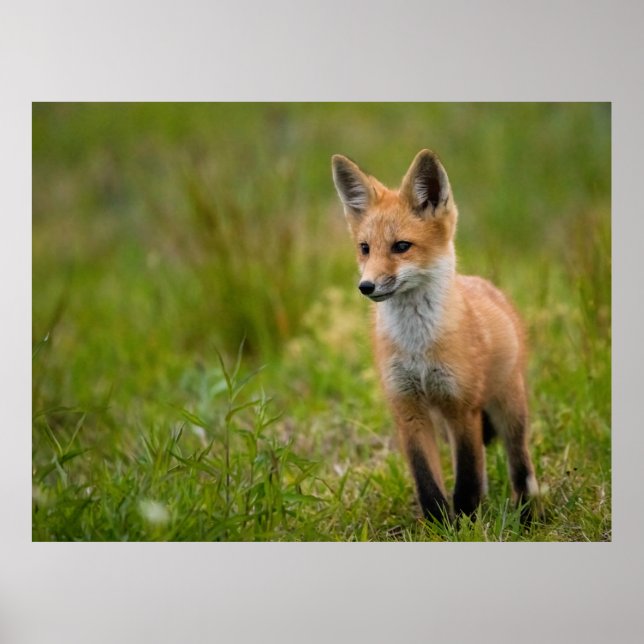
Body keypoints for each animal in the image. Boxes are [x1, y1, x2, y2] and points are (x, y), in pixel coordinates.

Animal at [331, 149, 539, 524]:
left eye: (401, 246)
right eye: (365, 248)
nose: (365, 286)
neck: (417, 347)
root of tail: (488, 287)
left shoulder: (461, 406)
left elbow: (468, 481)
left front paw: (467, 523)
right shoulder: (408, 409)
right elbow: (427, 482)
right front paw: (440, 525)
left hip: (508, 410)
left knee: (521, 469)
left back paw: (528, 517)